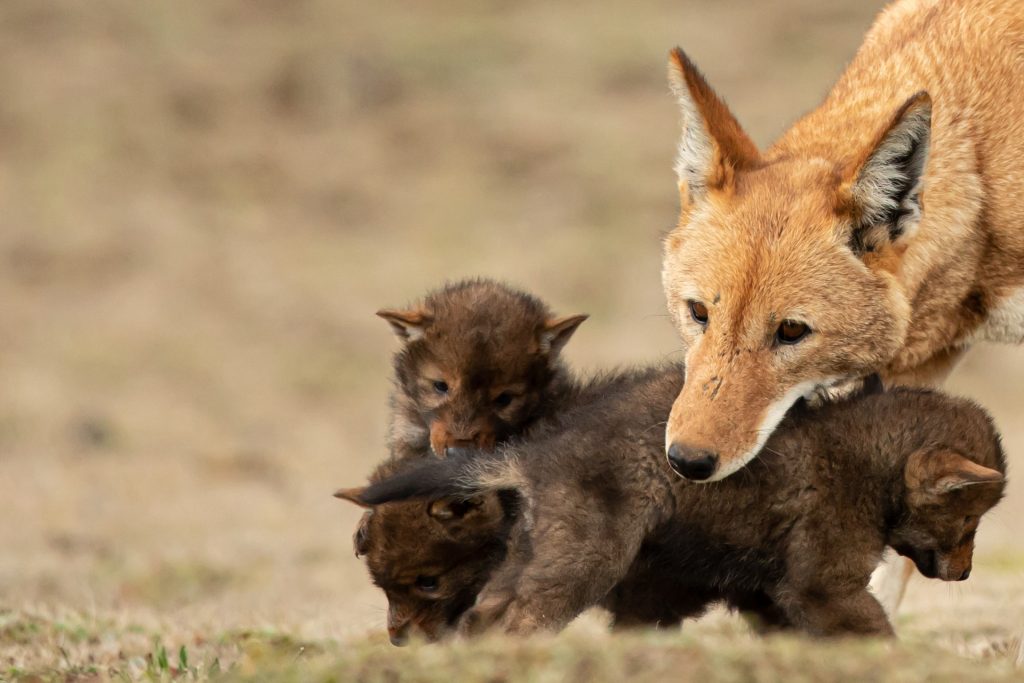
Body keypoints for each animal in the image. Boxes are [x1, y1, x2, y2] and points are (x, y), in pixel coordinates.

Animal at [340, 368, 1006, 640]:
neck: (871, 459)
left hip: (540, 551)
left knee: (486, 615)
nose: (965, 572)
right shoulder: (822, 583)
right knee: (522, 619)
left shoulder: (771, 592)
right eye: (969, 516)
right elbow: (874, 631)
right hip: (589, 556)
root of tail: (535, 454)